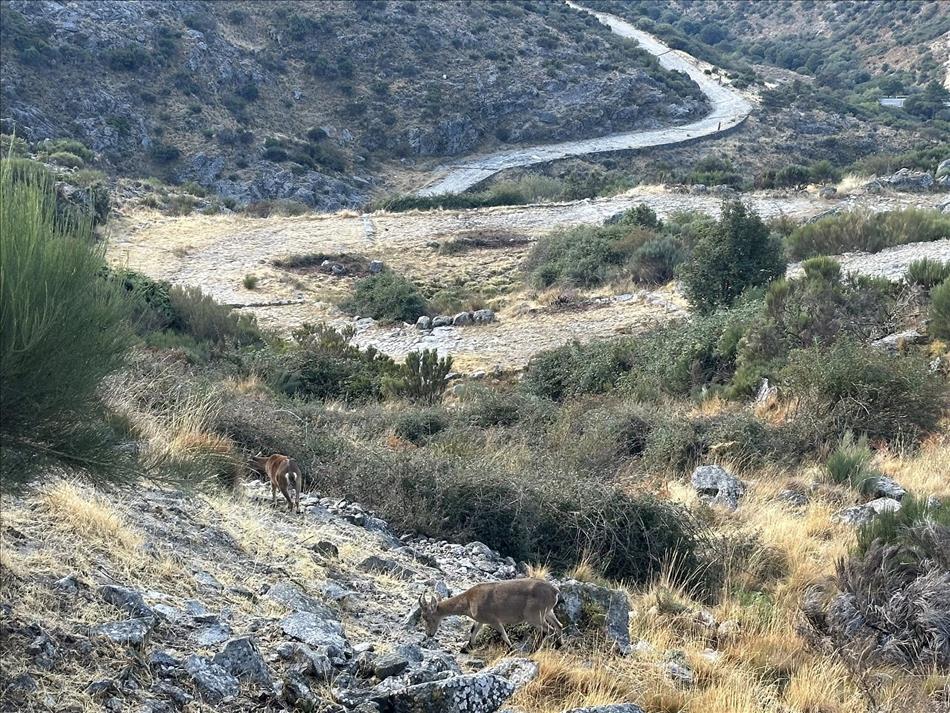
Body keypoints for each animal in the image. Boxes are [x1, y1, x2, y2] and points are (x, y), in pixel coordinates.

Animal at [418, 578, 562, 652]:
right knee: (558, 626)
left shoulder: (493, 620)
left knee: (550, 629)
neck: (469, 601)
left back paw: (538, 649)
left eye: (427, 617)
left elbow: (503, 634)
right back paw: (559, 645)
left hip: (534, 616)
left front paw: (511, 649)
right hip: (548, 612)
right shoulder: (481, 620)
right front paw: (466, 648)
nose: (429, 634)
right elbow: (473, 631)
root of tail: (555, 591)